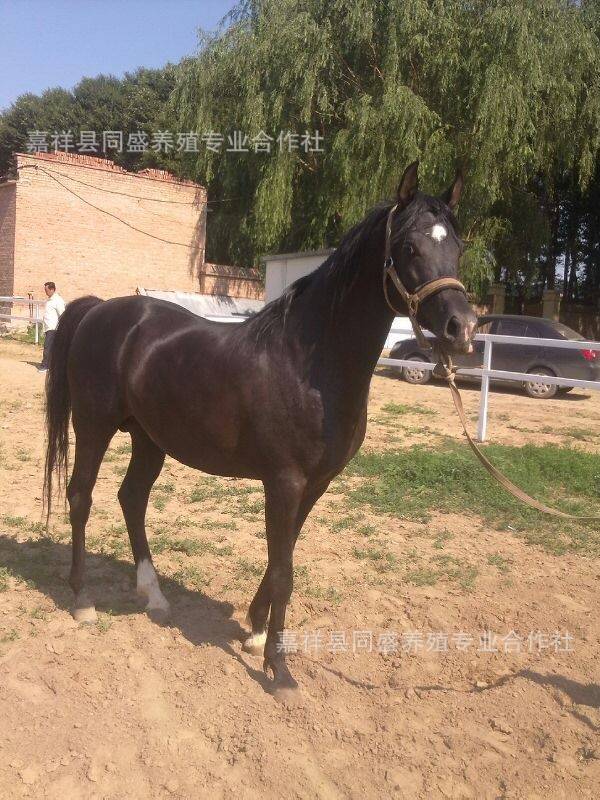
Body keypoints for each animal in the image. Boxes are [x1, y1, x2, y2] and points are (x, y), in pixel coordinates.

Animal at [44, 161, 476, 696]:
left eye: (458, 247)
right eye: (410, 247)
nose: (463, 328)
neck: (309, 364)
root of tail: (100, 309)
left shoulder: (314, 485)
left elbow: (279, 560)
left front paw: (252, 633)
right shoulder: (284, 482)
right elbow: (285, 571)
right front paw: (279, 668)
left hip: (149, 438)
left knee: (132, 499)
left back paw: (154, 596)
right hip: (94, 427)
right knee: (81, 496)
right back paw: (82, 600)